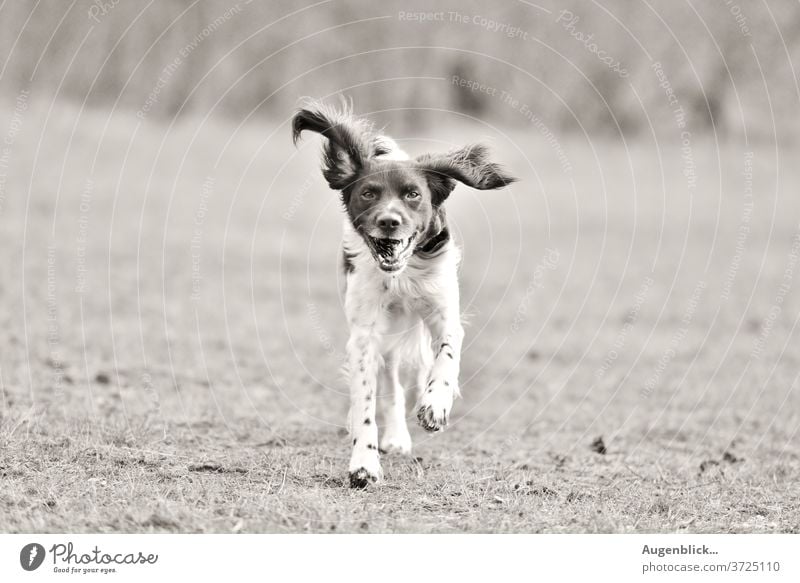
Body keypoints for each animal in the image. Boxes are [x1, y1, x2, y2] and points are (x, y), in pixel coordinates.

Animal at [290, 101, 516, 488]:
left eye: (413, 194)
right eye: (368, 193)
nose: (389, 222)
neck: (401, 275)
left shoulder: (444, 315)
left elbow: (446, 358)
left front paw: (435, 405)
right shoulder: (366, 336)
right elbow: (367, 402)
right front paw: (364, 463)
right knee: (391, 387)